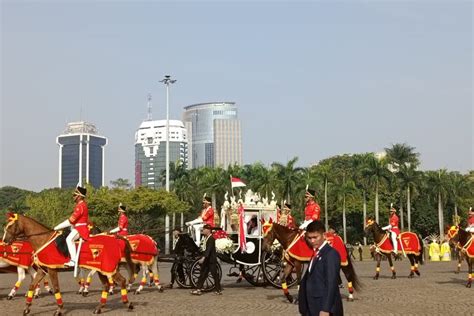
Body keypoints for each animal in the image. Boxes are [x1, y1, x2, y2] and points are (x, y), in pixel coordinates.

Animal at [3, 214, 135, 314]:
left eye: (11, 226)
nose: (4, 241)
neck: (43, 239)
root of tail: (115, 239)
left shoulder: (52, 270)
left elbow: (56, 288)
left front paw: (59, 309)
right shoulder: (42, 270)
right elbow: (32, 285)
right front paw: (26, 308)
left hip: (108, 267)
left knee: (122, 281)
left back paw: (127, 303)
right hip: (101, 269)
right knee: (106, 285)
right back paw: (99, 308)